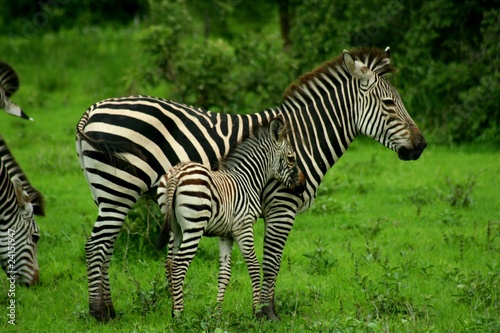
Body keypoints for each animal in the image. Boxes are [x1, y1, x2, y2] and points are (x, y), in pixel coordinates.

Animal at [77, 46, 426, 320]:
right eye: (389, 104)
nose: (421, 146)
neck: (303, 138)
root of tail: (92, 110)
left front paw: (266, 309)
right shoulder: (282, 205)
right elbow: (271, 260)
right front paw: (266, 313)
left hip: (105, 192)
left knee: (105, 246)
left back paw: (110, 309)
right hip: (118, 189)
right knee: (96, 246)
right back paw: (99, 313)